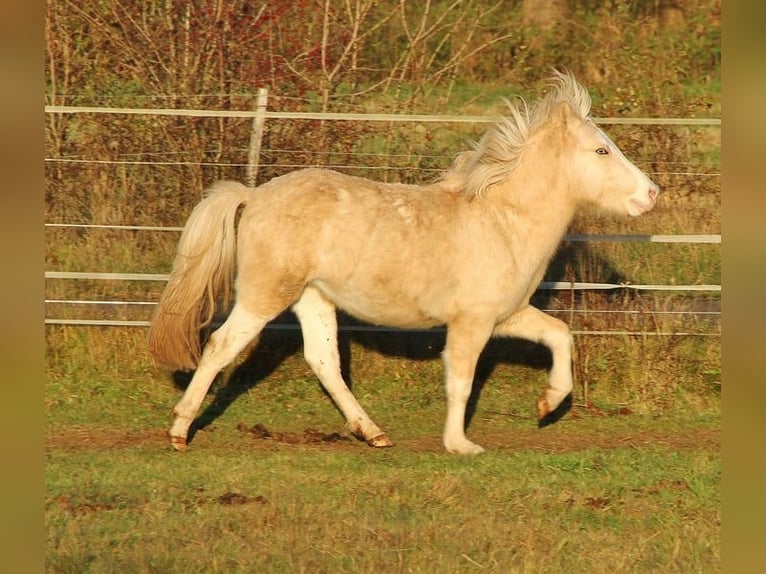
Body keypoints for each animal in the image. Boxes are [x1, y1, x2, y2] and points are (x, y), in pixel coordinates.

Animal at [148, 71, 659, 455]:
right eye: (602, 150)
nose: (651, 194)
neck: (502, 220)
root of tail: (253, 196)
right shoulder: (472, 322)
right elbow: (461, 379)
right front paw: (460, 444)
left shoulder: (506, 314)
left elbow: (559, 335)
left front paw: (548, 404)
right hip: (265, 295)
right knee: (220, 346)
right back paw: (179, 431)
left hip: (314, 298)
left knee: (324, 360)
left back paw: (372, 433)